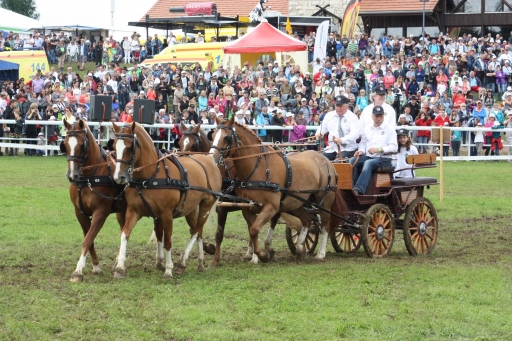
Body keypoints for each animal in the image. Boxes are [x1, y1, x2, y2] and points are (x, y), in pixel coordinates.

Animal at [61, 118, 152, 280]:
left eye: (81, 145)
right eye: (65, 144)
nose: (72, 175)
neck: (88, 179)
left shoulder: (101, 212)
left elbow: (88, 239)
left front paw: (78, 271)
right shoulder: (80, 213)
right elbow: (89, 240)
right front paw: (96, 266)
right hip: (121, 212)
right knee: (124, 230)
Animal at [111, 121, 221, 278]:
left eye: (130, 147)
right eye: (114, 147)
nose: (119, 177)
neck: (150, 177)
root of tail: (208, 159)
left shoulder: (166, 214)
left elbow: (168, 240)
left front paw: (168, 269)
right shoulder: (134, 211)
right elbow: (125, 234)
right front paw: (120, 267)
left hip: (206, 205)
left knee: (196, 230)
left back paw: (182, 262)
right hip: (191, 209)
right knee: (198, 232)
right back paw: (200, 263)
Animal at [210, 115, 338, 262]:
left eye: (227, 137)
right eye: (212, 135)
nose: (211, 158)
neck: (257, 168)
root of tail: (325, 159)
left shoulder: (271, 207)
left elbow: (254, 230)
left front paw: (264, 255)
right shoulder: (248, 208)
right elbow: (252, 231)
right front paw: (257, 256)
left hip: (324, 201)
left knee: (325, 225)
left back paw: (320, 254)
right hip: (295, 202)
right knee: (307, 220)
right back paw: (300, 249)